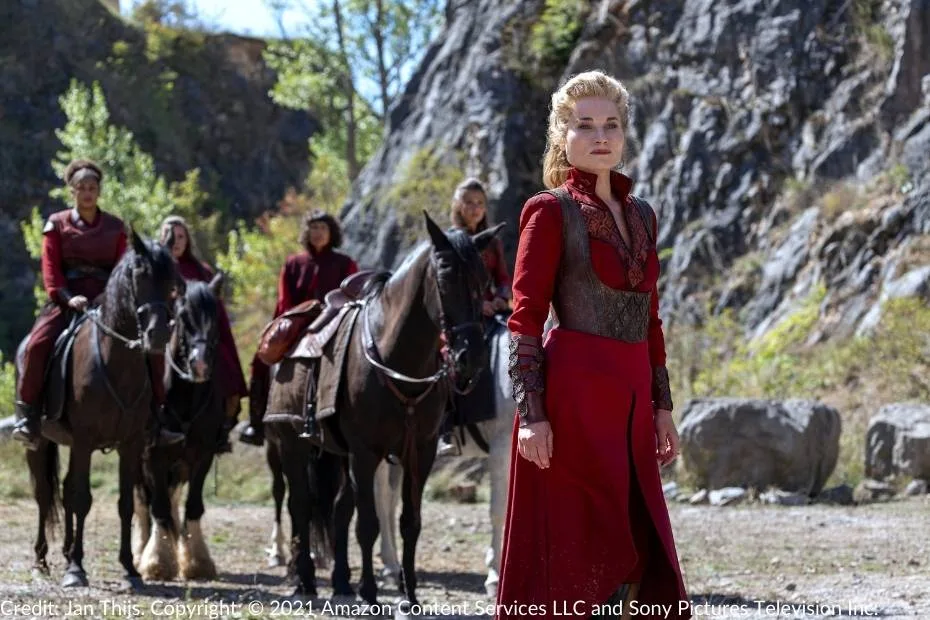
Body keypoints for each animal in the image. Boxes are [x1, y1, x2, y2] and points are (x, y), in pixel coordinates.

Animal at [16, 230, 179, 588]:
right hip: (40, 443)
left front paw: (130, 569)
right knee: (45, 494)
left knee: (63, 490)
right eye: (138, 275)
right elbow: (82, 500)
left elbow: (125, 504)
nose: (159, 335)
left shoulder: (130, 445)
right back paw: (41, 561)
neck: (115, 361)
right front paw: (76, 569)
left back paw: (64, 553)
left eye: (171, 281)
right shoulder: (84, 441)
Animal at [133, 274, 224, 580]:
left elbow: (192, 505)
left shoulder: (202, 455)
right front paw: (157, 561)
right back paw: (140, 551)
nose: (201, 365)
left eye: (216, 316)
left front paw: (197, 562)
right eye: (183, 317)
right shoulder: (153, 456)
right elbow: (157, 506)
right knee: (143, 501)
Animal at [264, 213, 500, 600]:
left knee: (338, 509)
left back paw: (341, 582)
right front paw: (370, 591)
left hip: (338, 454)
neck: (396, 359)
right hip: (291, 444)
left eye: (483, 279)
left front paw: (410, 595)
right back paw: (304, 580)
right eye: (445, 277)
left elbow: (410, 522)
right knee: (300, 505)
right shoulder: (365, 452)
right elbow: (369, 524)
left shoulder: (420, 451)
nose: (473, 357)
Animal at [372, 318, 516, 600]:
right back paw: (391, 565)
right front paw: (495, 576)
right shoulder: (502, 449)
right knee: (382, 500)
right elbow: (498, 511)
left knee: (392, 501)